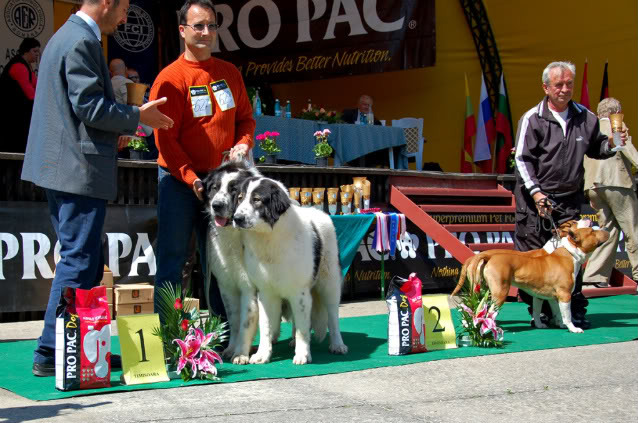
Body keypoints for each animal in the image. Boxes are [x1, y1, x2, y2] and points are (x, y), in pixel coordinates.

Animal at [200, 161, 260, 366]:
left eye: (234, 190)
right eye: (214, 188)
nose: (216, 205)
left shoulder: (249, 288)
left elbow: (245, 321)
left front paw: (241, 353)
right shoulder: (226, 286)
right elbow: (234, 320)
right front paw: (231, 349)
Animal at [234, 175, 348, 364]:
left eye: (257, 200)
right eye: (240, 198)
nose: (237, 218)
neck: (269, 238)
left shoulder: (299, 292)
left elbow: (303, 327)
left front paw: (302, 354)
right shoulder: (266, 293)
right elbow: (266, 326)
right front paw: (262, 355)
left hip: (329, 285)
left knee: (333, 317)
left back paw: (338, 345)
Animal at [456, 227, 608, 332]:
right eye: (592, 231)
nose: (605, 230)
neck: (570, 253)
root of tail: (489, 256)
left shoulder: (547, 297)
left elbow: (553, 312)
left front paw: (551, 324)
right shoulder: (565, 295)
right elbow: (567, 314)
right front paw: (573, 328)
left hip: (480, 289)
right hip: (500, 292)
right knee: (490, 311)